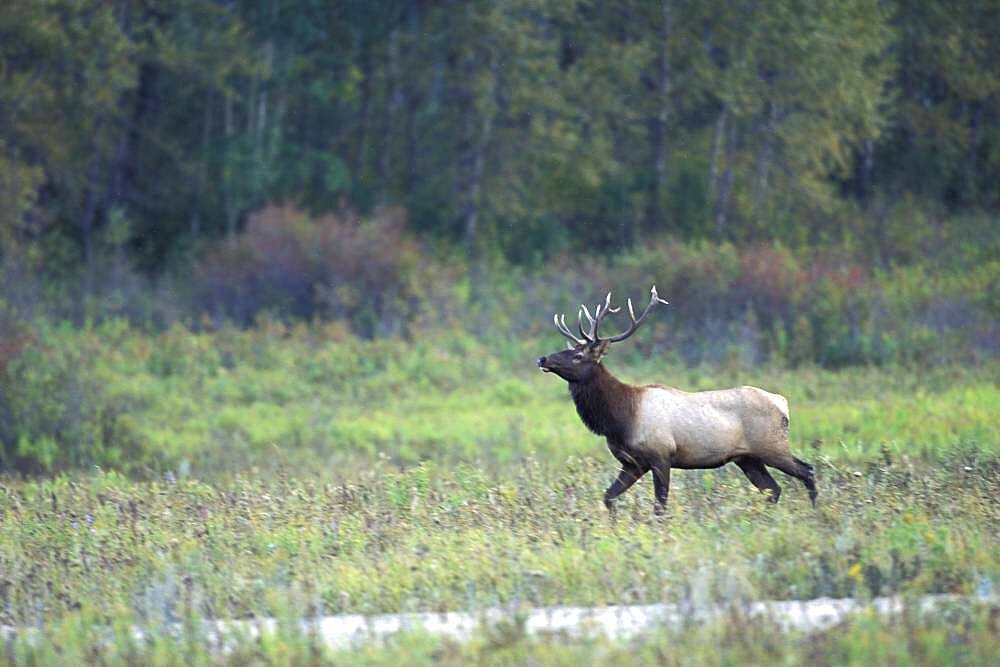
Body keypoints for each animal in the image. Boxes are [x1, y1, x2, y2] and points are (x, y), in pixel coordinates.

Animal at [536, 288, 816, 516]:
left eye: (578, 355)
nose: (542, 359)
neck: (621, 418)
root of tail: (782, 402)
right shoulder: (633, 463)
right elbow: (608, 497)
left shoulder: (661, 455)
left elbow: (659, 507)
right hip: (747, 458)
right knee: (773, 489)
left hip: (772, 446)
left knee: (807, 471)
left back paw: (815, 514)